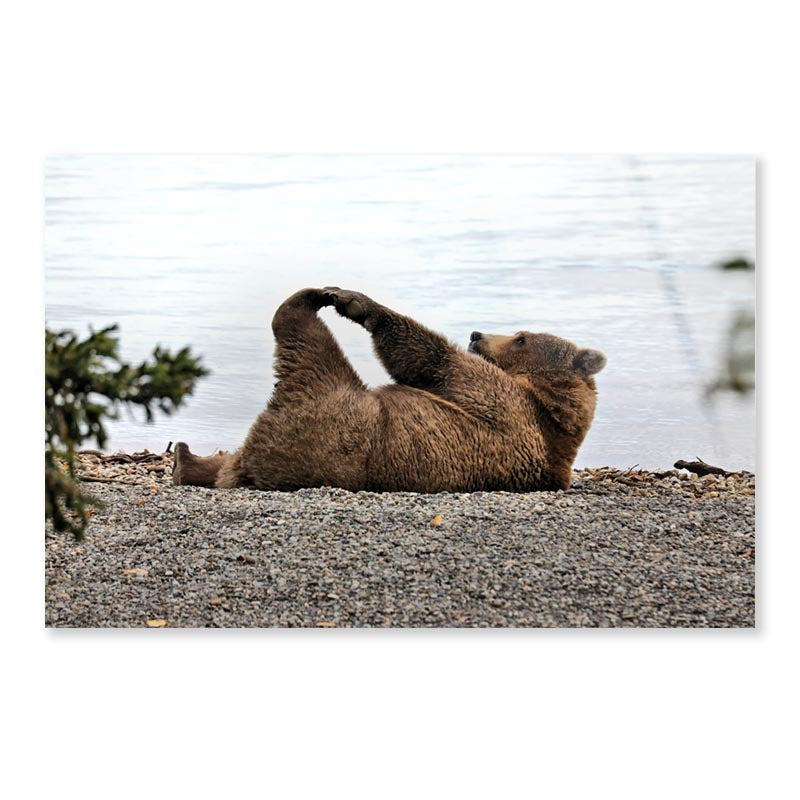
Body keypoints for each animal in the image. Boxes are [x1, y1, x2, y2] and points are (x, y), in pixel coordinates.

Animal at [172, 284, 604, 490]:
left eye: (521, 338)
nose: (476, 334)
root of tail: (249, 471)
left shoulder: (505, 404)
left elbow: (434, 362)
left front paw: (356, 302)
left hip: (330, 417)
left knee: (306, 346)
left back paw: (307, 300)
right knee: (225, 459)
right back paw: (185, 459)